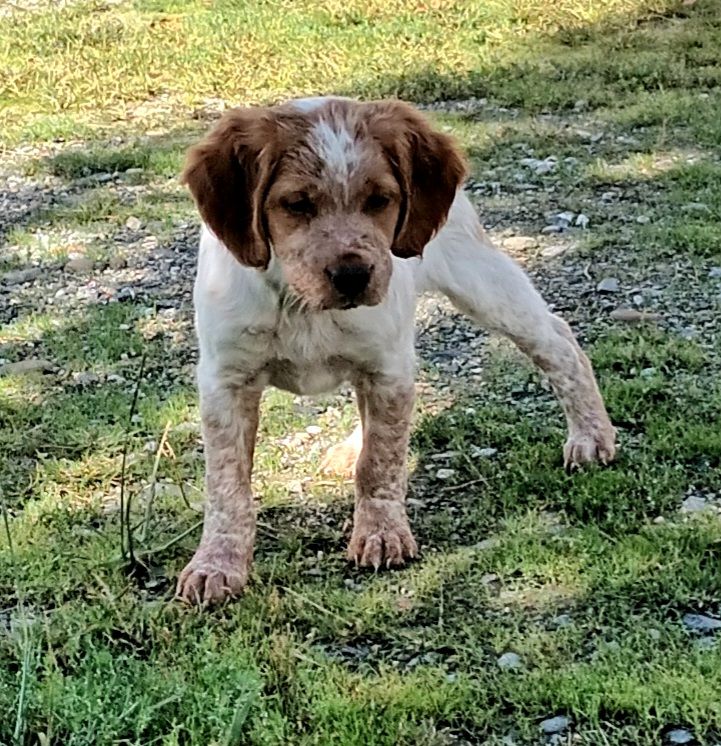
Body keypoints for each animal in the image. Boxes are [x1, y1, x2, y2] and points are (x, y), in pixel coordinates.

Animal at [176, 97, 612, 604]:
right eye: (297, 204)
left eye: (379, 200)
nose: (352, 275)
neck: (301, 304)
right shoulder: (226, 381)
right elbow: (227, 484)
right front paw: (216, 564)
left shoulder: (388, 367)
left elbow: (380, 462)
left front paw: (382, 534)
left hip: (482, 281)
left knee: (557, 340)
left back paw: (591, 436)